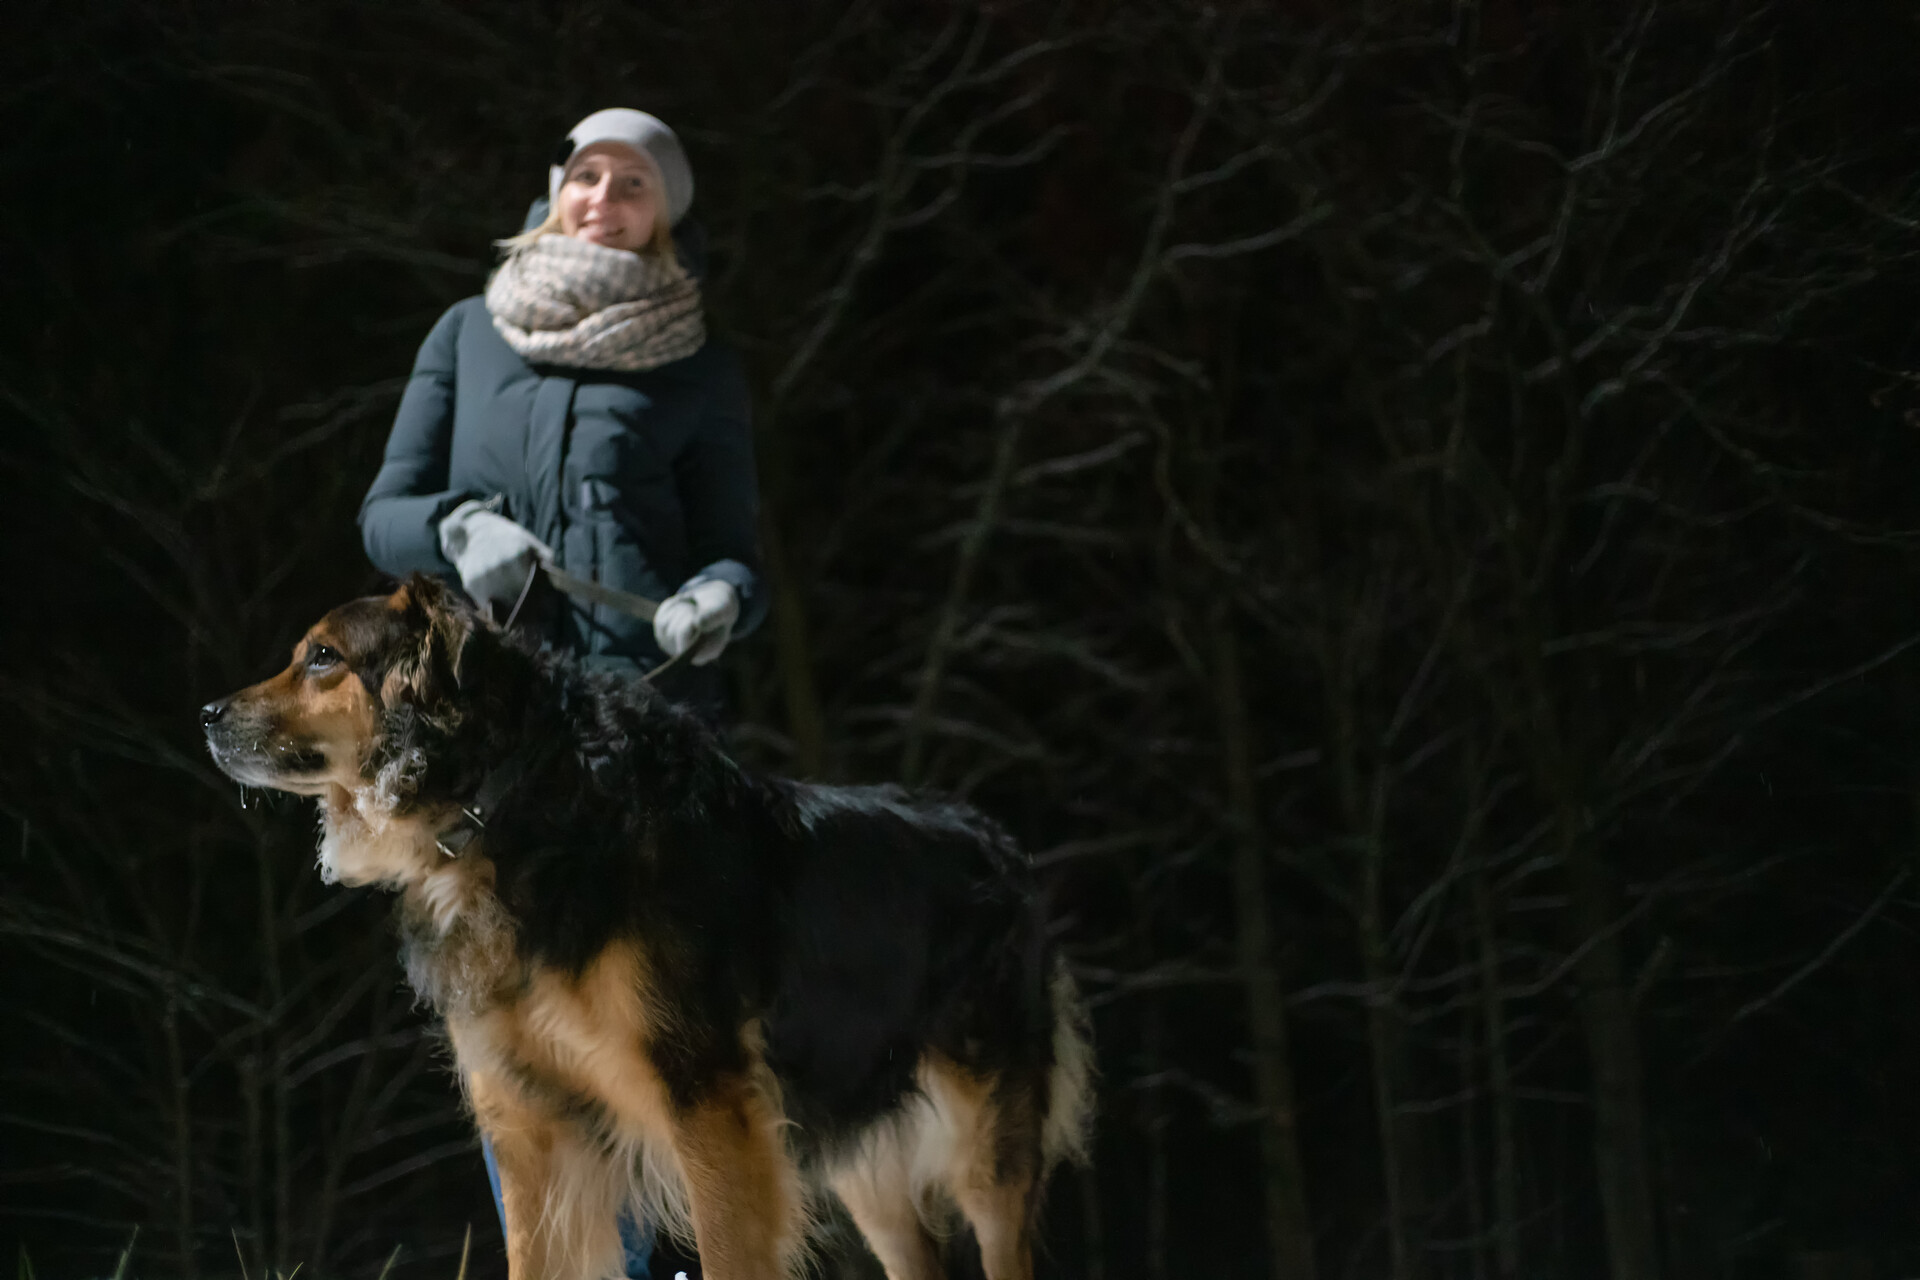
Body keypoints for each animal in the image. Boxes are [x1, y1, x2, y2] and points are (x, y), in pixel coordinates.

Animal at [202, 579, 1098, 1280]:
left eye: (323, 657)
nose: (207, 713)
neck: (506, 801)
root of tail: (1003, 846)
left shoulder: (709, 1104)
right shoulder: (529, 1130)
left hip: (987, 1146)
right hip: (864, 1163)